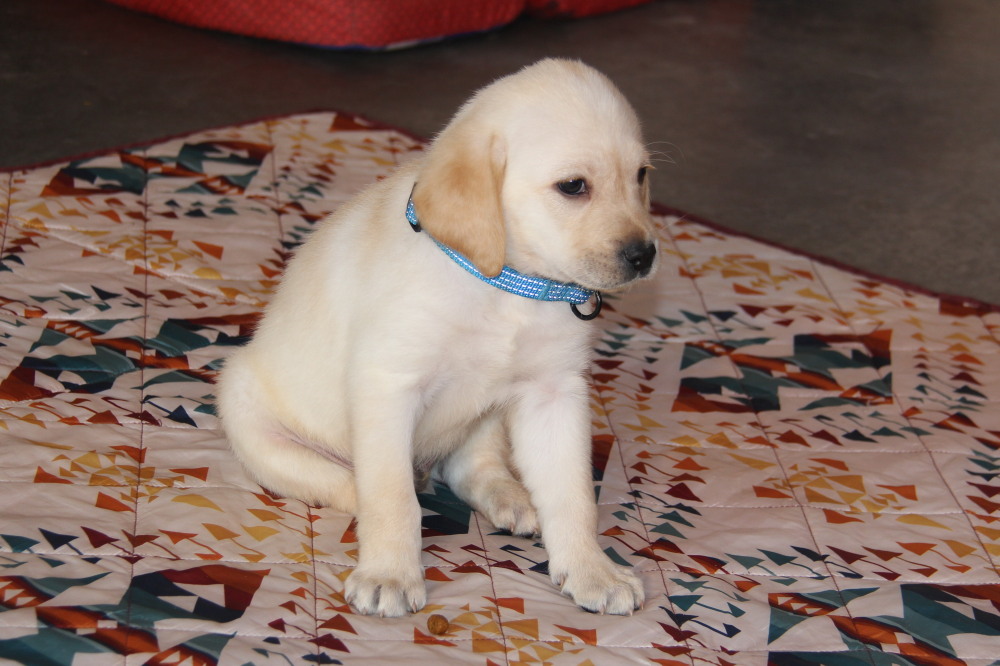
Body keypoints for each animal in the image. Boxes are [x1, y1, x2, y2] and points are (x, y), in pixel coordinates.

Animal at [215, 59, 656, 616]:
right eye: (574, 186)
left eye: (641, 175)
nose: (644, 255)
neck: (504, 283)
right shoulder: (388, 385)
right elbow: (391, 497)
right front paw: (390, 573)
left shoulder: (555, 393)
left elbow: (573, 495)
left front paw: (591, 569)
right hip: (249, 413)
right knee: (355, 486)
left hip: (488, 415)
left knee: (472, 466)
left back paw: (511, 497)